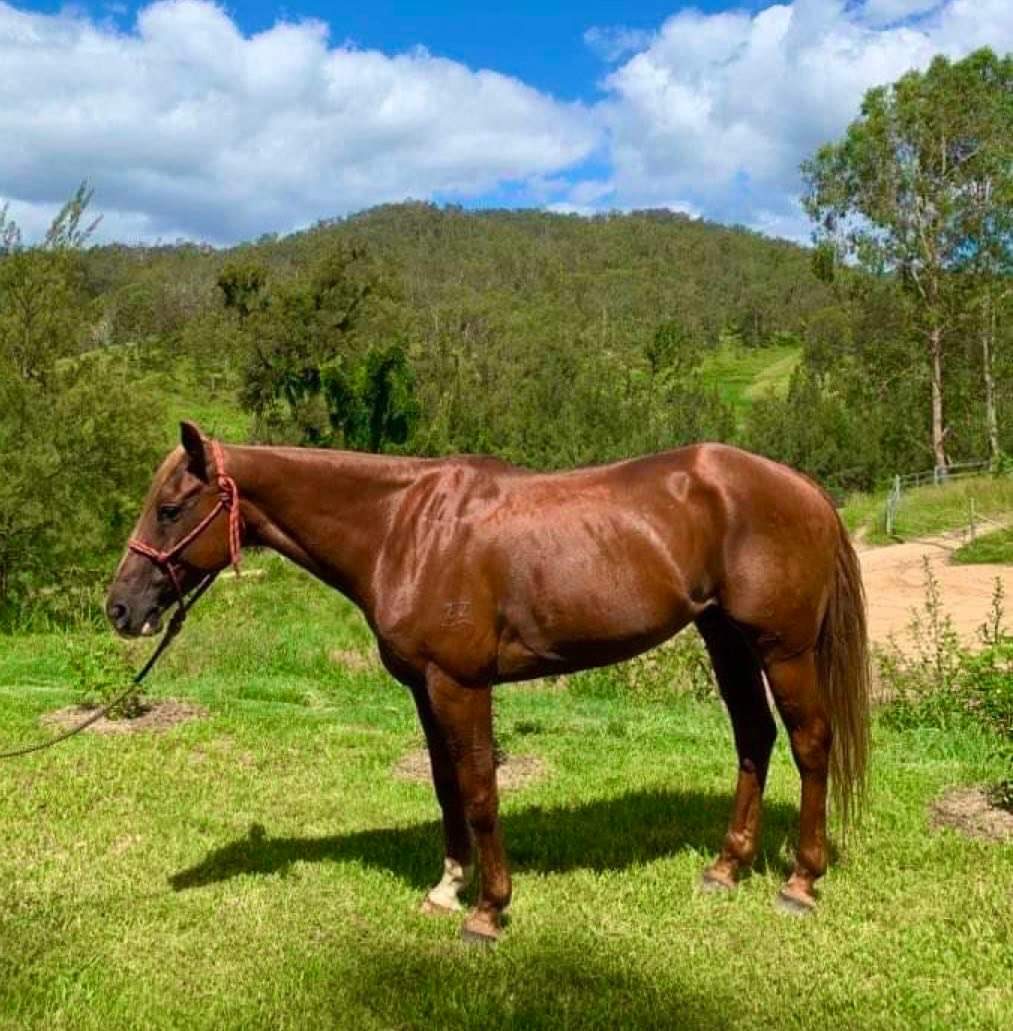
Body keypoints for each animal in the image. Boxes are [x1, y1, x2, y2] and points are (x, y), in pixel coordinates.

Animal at [107, 421, 870, 943]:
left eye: (170, 508)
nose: (120, 608)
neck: (403, 528)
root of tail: (802, 488)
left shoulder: (460, 685)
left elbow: (479, 789)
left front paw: (488, 910)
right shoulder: (423, 687)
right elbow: (446, 786)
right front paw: (447, 887)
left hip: (782, 648)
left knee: (809, 741)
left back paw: (801, 880)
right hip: (725, 639)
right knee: (753, 738)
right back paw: (724, 868)